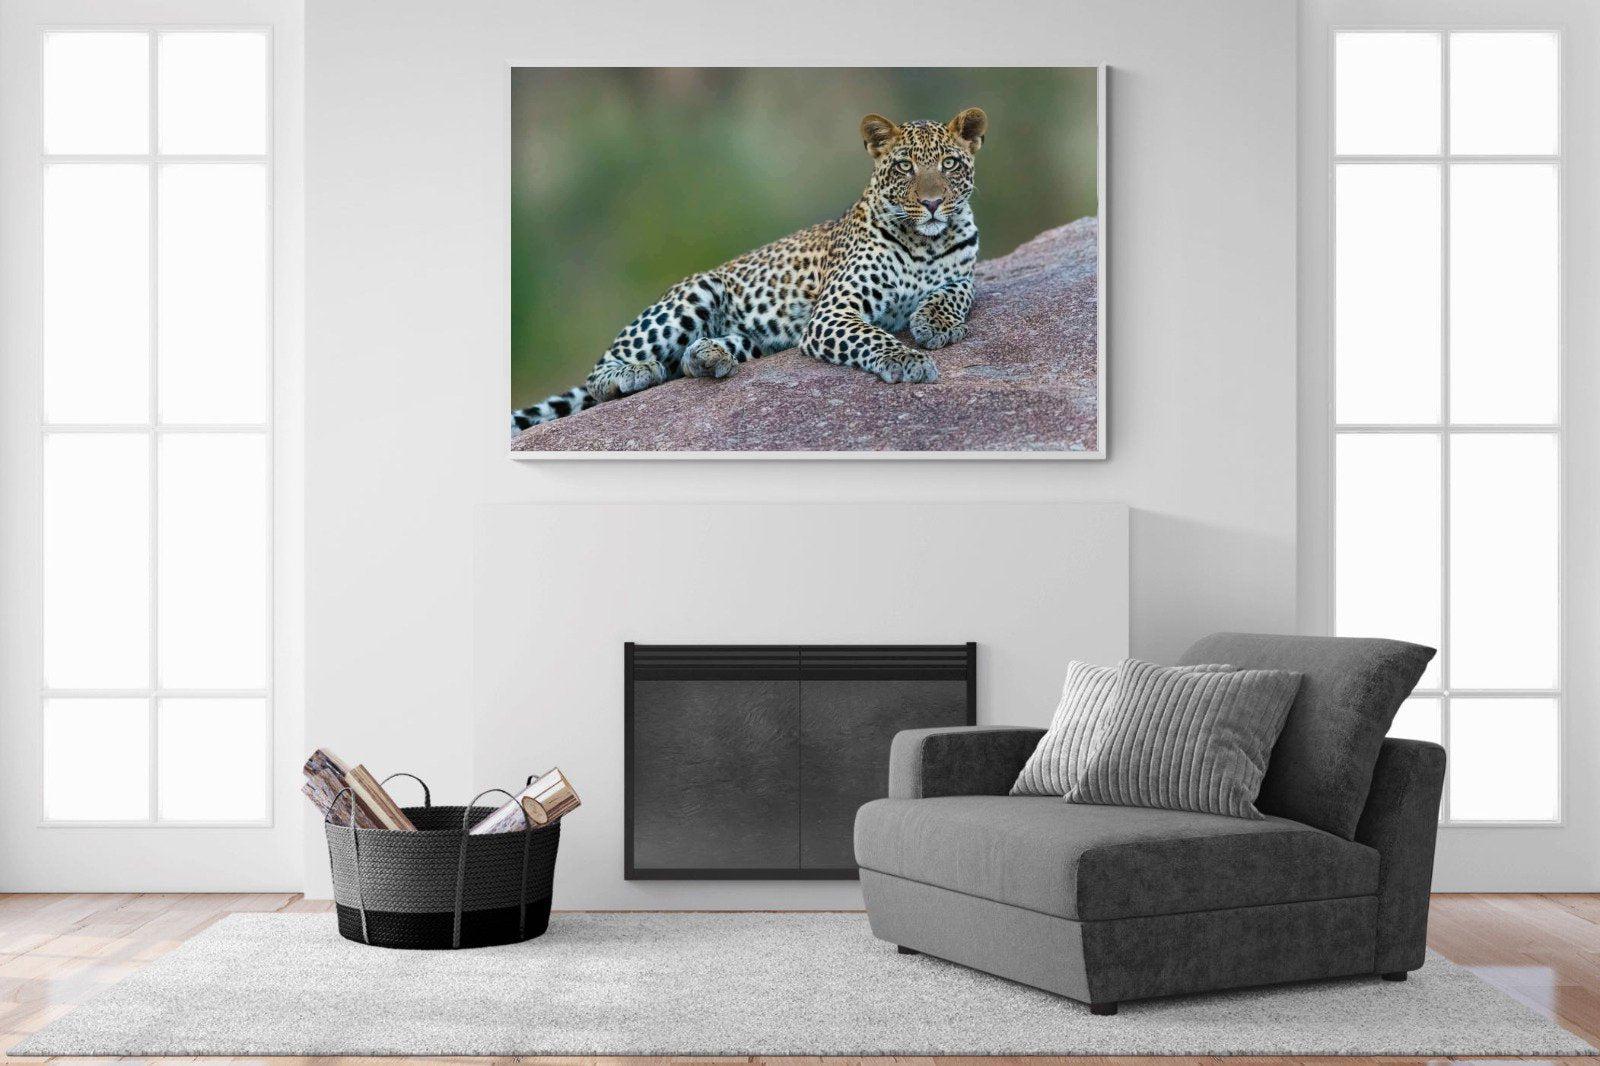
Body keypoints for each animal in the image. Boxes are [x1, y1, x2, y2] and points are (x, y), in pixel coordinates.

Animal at [510, 107, 988, 433]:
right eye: (905, 166)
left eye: (949, 164)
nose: (932, 203)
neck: (926, 241)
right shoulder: (833, 313)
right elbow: (873, 336)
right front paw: (909, 358)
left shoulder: (964, 275)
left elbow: (955, 293)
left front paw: (934, 324)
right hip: (693, 294)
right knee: (601, 372)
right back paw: (635, 372)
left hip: (754, 340)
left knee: (692, 359)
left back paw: (708, 357)